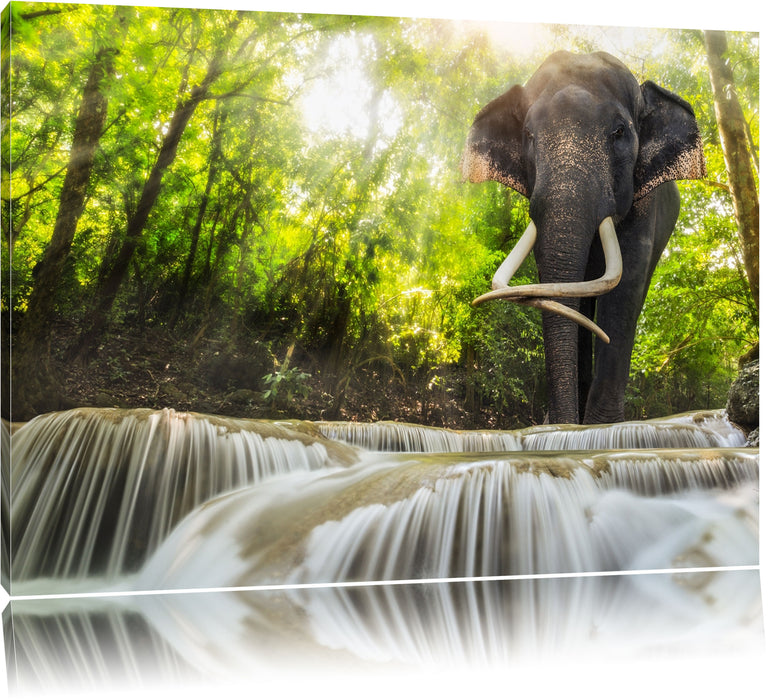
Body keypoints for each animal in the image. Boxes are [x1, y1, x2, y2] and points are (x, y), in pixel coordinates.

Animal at [461, 51, 705, 425]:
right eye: (528, 134)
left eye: (619, 131)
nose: (556, 422)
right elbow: (556, 287)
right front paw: (563, 425)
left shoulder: (643, 202)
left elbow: (625, 285)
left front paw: (601, 427)